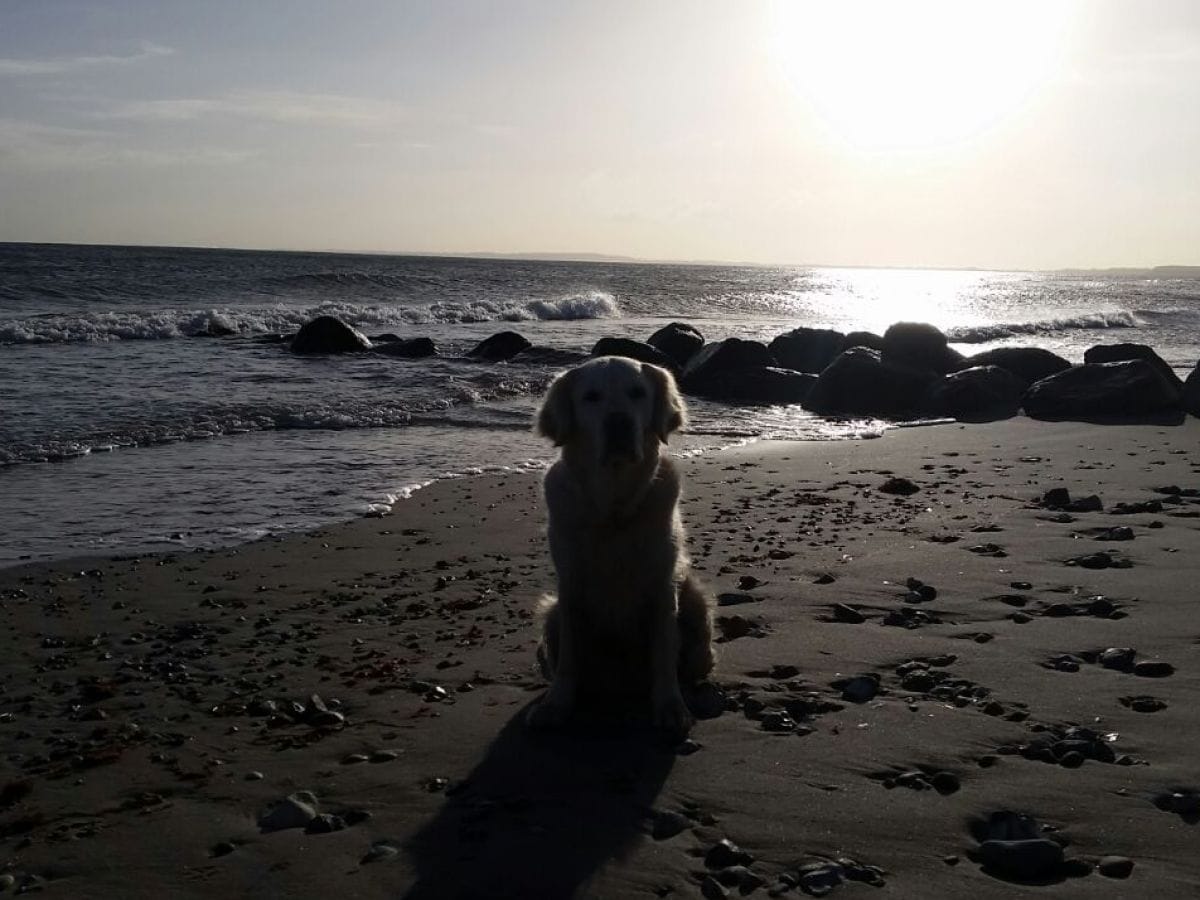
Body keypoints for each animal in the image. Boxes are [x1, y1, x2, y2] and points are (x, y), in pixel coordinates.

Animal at [528, 352, 710, 734]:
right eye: (591, 397)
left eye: (637, 392)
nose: (619, 424)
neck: (612, 506)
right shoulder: (570, 586)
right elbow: (569, 658)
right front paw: (555, 705)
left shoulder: (661, 584)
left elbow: (664, 654)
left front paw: (671, 708)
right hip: (552, 613)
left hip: (695, 600)